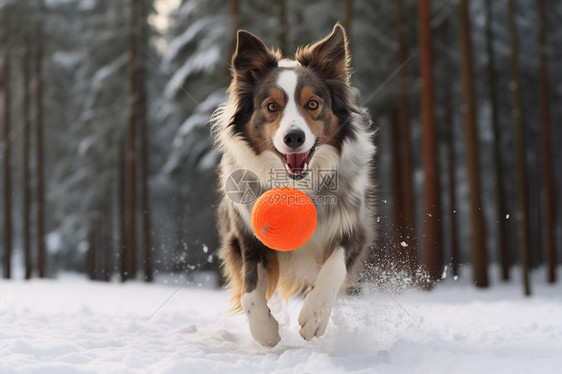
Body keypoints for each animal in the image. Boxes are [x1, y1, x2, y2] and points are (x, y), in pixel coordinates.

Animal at [212, 24, 374, 348]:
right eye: (272, 106)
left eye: (313, 104)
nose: (294, 137)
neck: (297, 185)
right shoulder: (246, 236)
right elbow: (250, 293)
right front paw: (265, 331)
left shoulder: (354, 227)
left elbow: (333, 267)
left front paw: (314, 316)